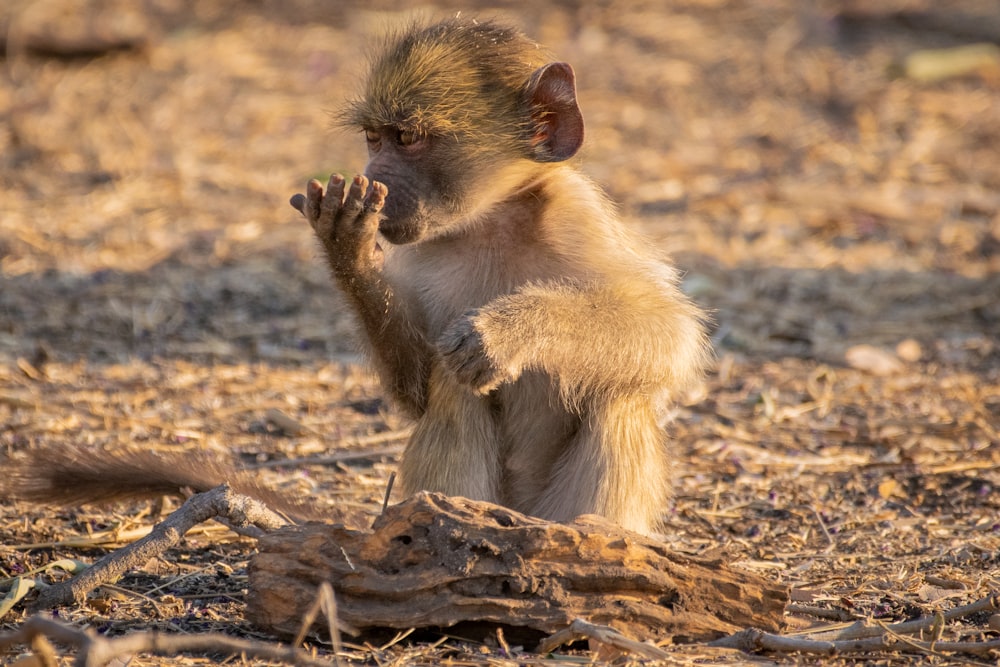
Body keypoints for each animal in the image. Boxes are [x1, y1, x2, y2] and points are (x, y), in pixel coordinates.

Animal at [290, 17, 712, 536]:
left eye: (407, 138)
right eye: (374, 137)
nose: (375, 177)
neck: (493, 222)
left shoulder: (579, 214)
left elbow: (671, 330)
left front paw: (509, 331)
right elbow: (417, 389)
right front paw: (348, 244)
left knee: (619, 395)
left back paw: (587, 534)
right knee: (452, 386)